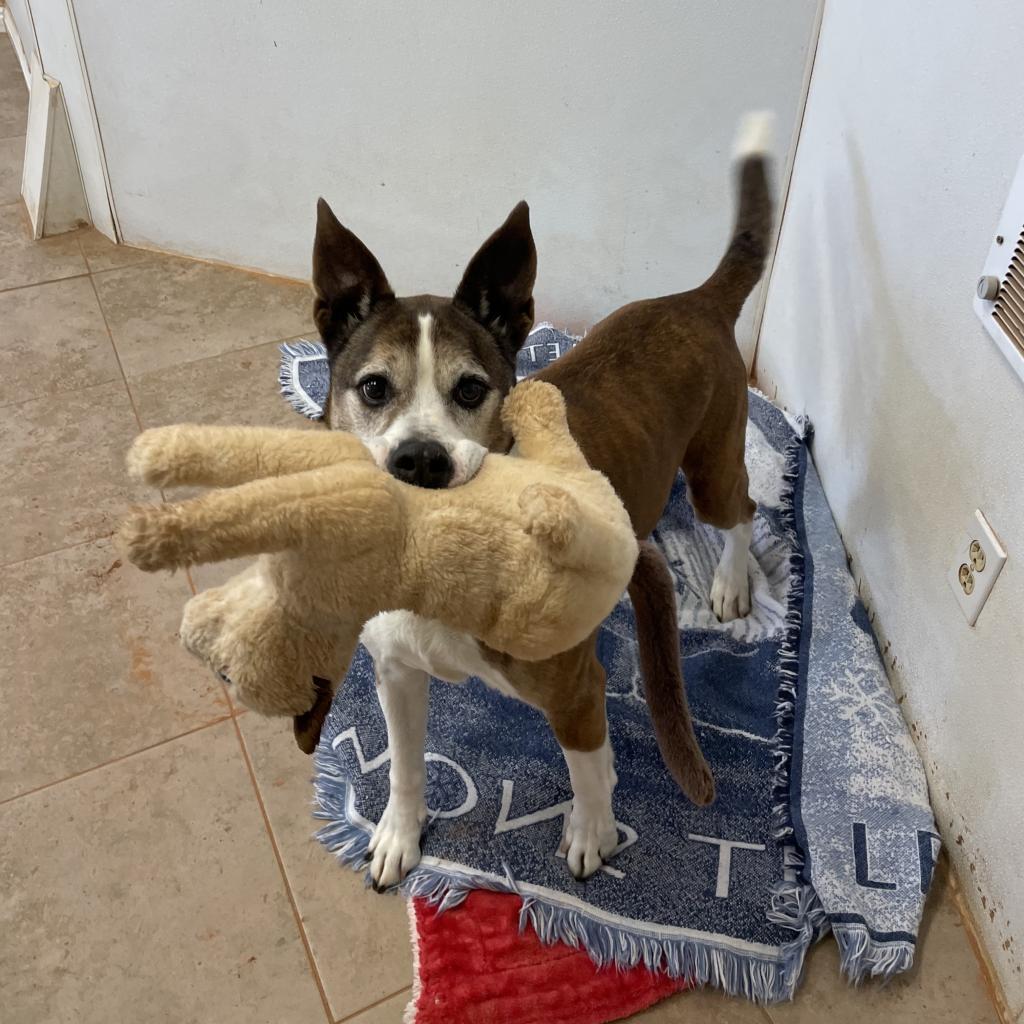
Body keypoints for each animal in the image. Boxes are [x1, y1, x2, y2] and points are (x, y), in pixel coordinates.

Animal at [311, 112, 774, 888]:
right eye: (373, 387)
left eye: (471, 389)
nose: (420, 459)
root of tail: (696, 299)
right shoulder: (397, 672)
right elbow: (404, 765)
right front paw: (398, 833)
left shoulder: (575, 690)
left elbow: (587, 773)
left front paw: (593, 833)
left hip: (713, 467)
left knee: (741, 512)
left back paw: (731, 583)